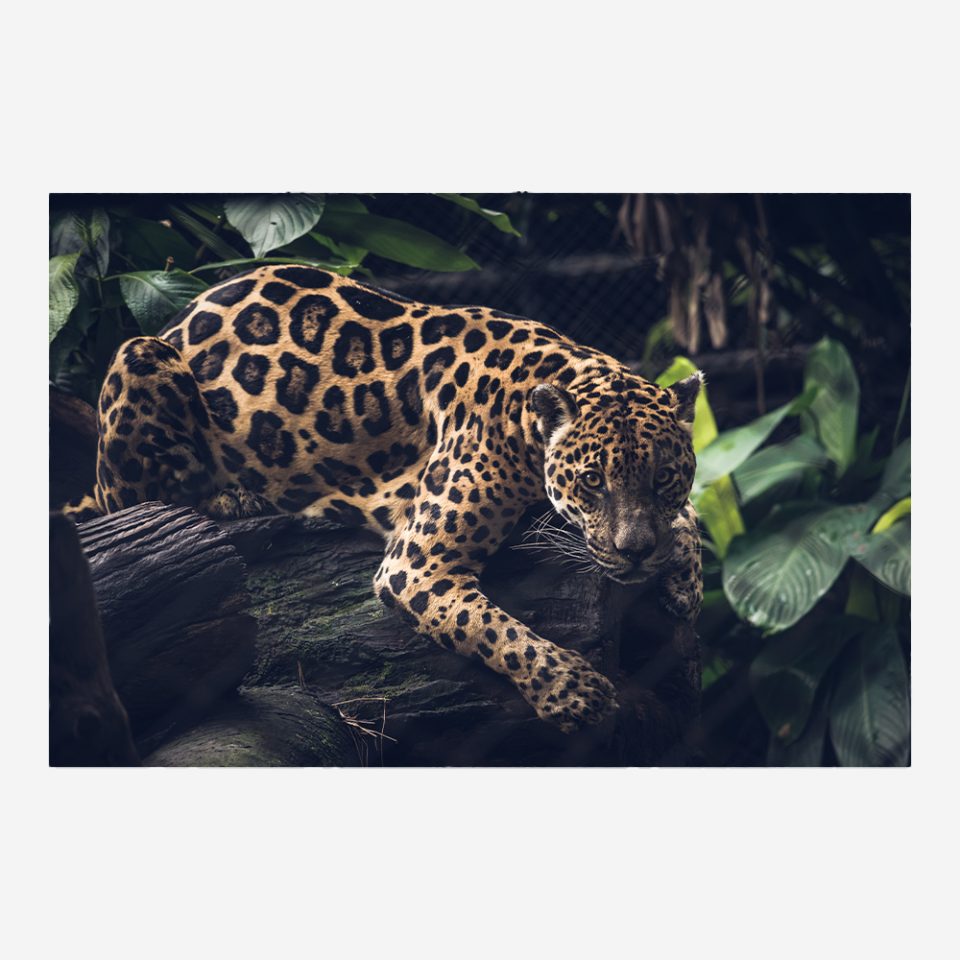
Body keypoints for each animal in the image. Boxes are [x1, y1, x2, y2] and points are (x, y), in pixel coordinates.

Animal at [63, 264, 703, 733]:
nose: (636, 553)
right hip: (139, 354)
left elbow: (689, 518)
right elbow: (495, 629)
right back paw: (236, 499)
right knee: (139, 498)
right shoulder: (417, 565)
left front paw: (684, 578)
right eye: (592, 481)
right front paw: (574, 691)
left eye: (665, 476)